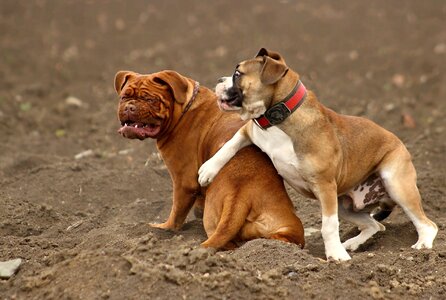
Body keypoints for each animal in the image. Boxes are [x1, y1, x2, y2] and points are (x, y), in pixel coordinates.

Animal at [113, 69, 304, 248]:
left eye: (150, 100)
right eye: (124, 97)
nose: (129, 107)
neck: (183, 108)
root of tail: (241, 194)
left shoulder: (183, 183)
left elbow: (176, 213)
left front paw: (164, 228)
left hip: (212, 219)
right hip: (287, 224)